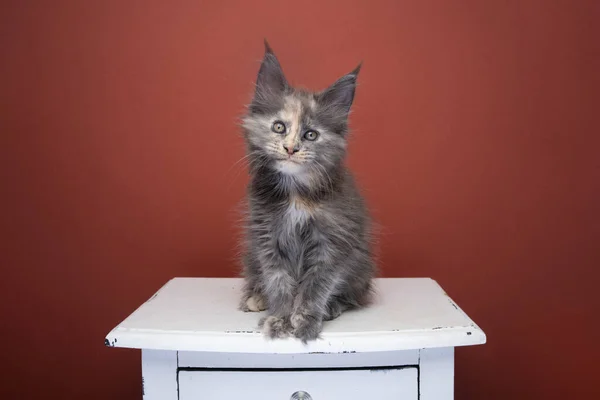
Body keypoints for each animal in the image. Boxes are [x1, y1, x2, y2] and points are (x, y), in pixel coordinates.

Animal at [239, 41, 376, 344]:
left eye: (311, 135)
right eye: (279, 127)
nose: (291, 149)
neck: (296, 194)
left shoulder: (334, 241)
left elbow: (316, 285)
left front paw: (306, 320)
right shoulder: (266, 236)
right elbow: (278, 282)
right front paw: (279, 318)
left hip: (361, 265)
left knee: (354, 296)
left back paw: (333, 307)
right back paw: (256, 297)